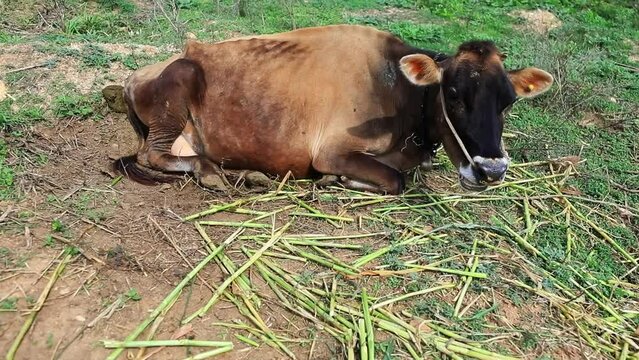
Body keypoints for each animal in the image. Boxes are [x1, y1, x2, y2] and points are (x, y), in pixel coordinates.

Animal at [115, 24, 556, 194]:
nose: (492, 170)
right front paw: (340, 181)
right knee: (153, 155)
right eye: (452, 94)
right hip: (179, 87)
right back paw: (212, 174)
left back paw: (247, 174)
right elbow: (396, 180)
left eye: (509, 102)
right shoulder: (331, 151)